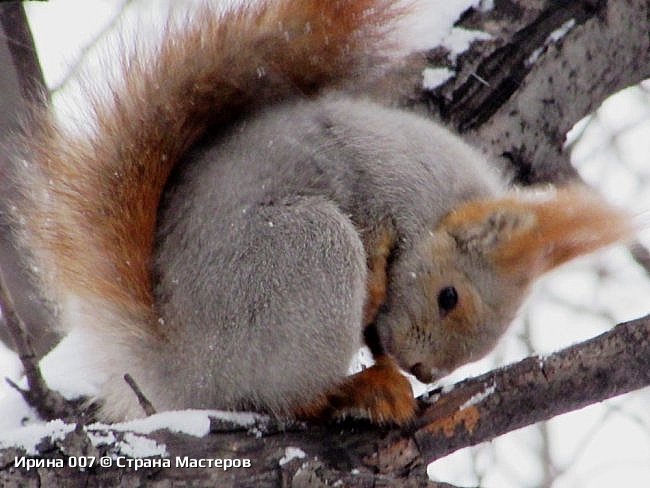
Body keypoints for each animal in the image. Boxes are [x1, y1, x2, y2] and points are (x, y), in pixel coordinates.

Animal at [11, 0, 632, 424]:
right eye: (448, 297)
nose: (425, 371)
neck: (434, 202)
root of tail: (181, 370)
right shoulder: (377, 175)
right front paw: (378, 281)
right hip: (306, 255)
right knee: (290, 399)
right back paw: (360, 388)